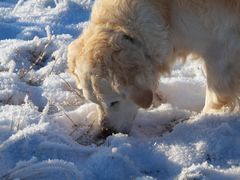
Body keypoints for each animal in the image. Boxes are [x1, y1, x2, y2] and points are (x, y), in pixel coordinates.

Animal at [67, 0, 240, 135]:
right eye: (94, 102)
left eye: (114, 102)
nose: (106, 132)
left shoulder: (220, 49)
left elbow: (214, 95)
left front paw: (205, 118)